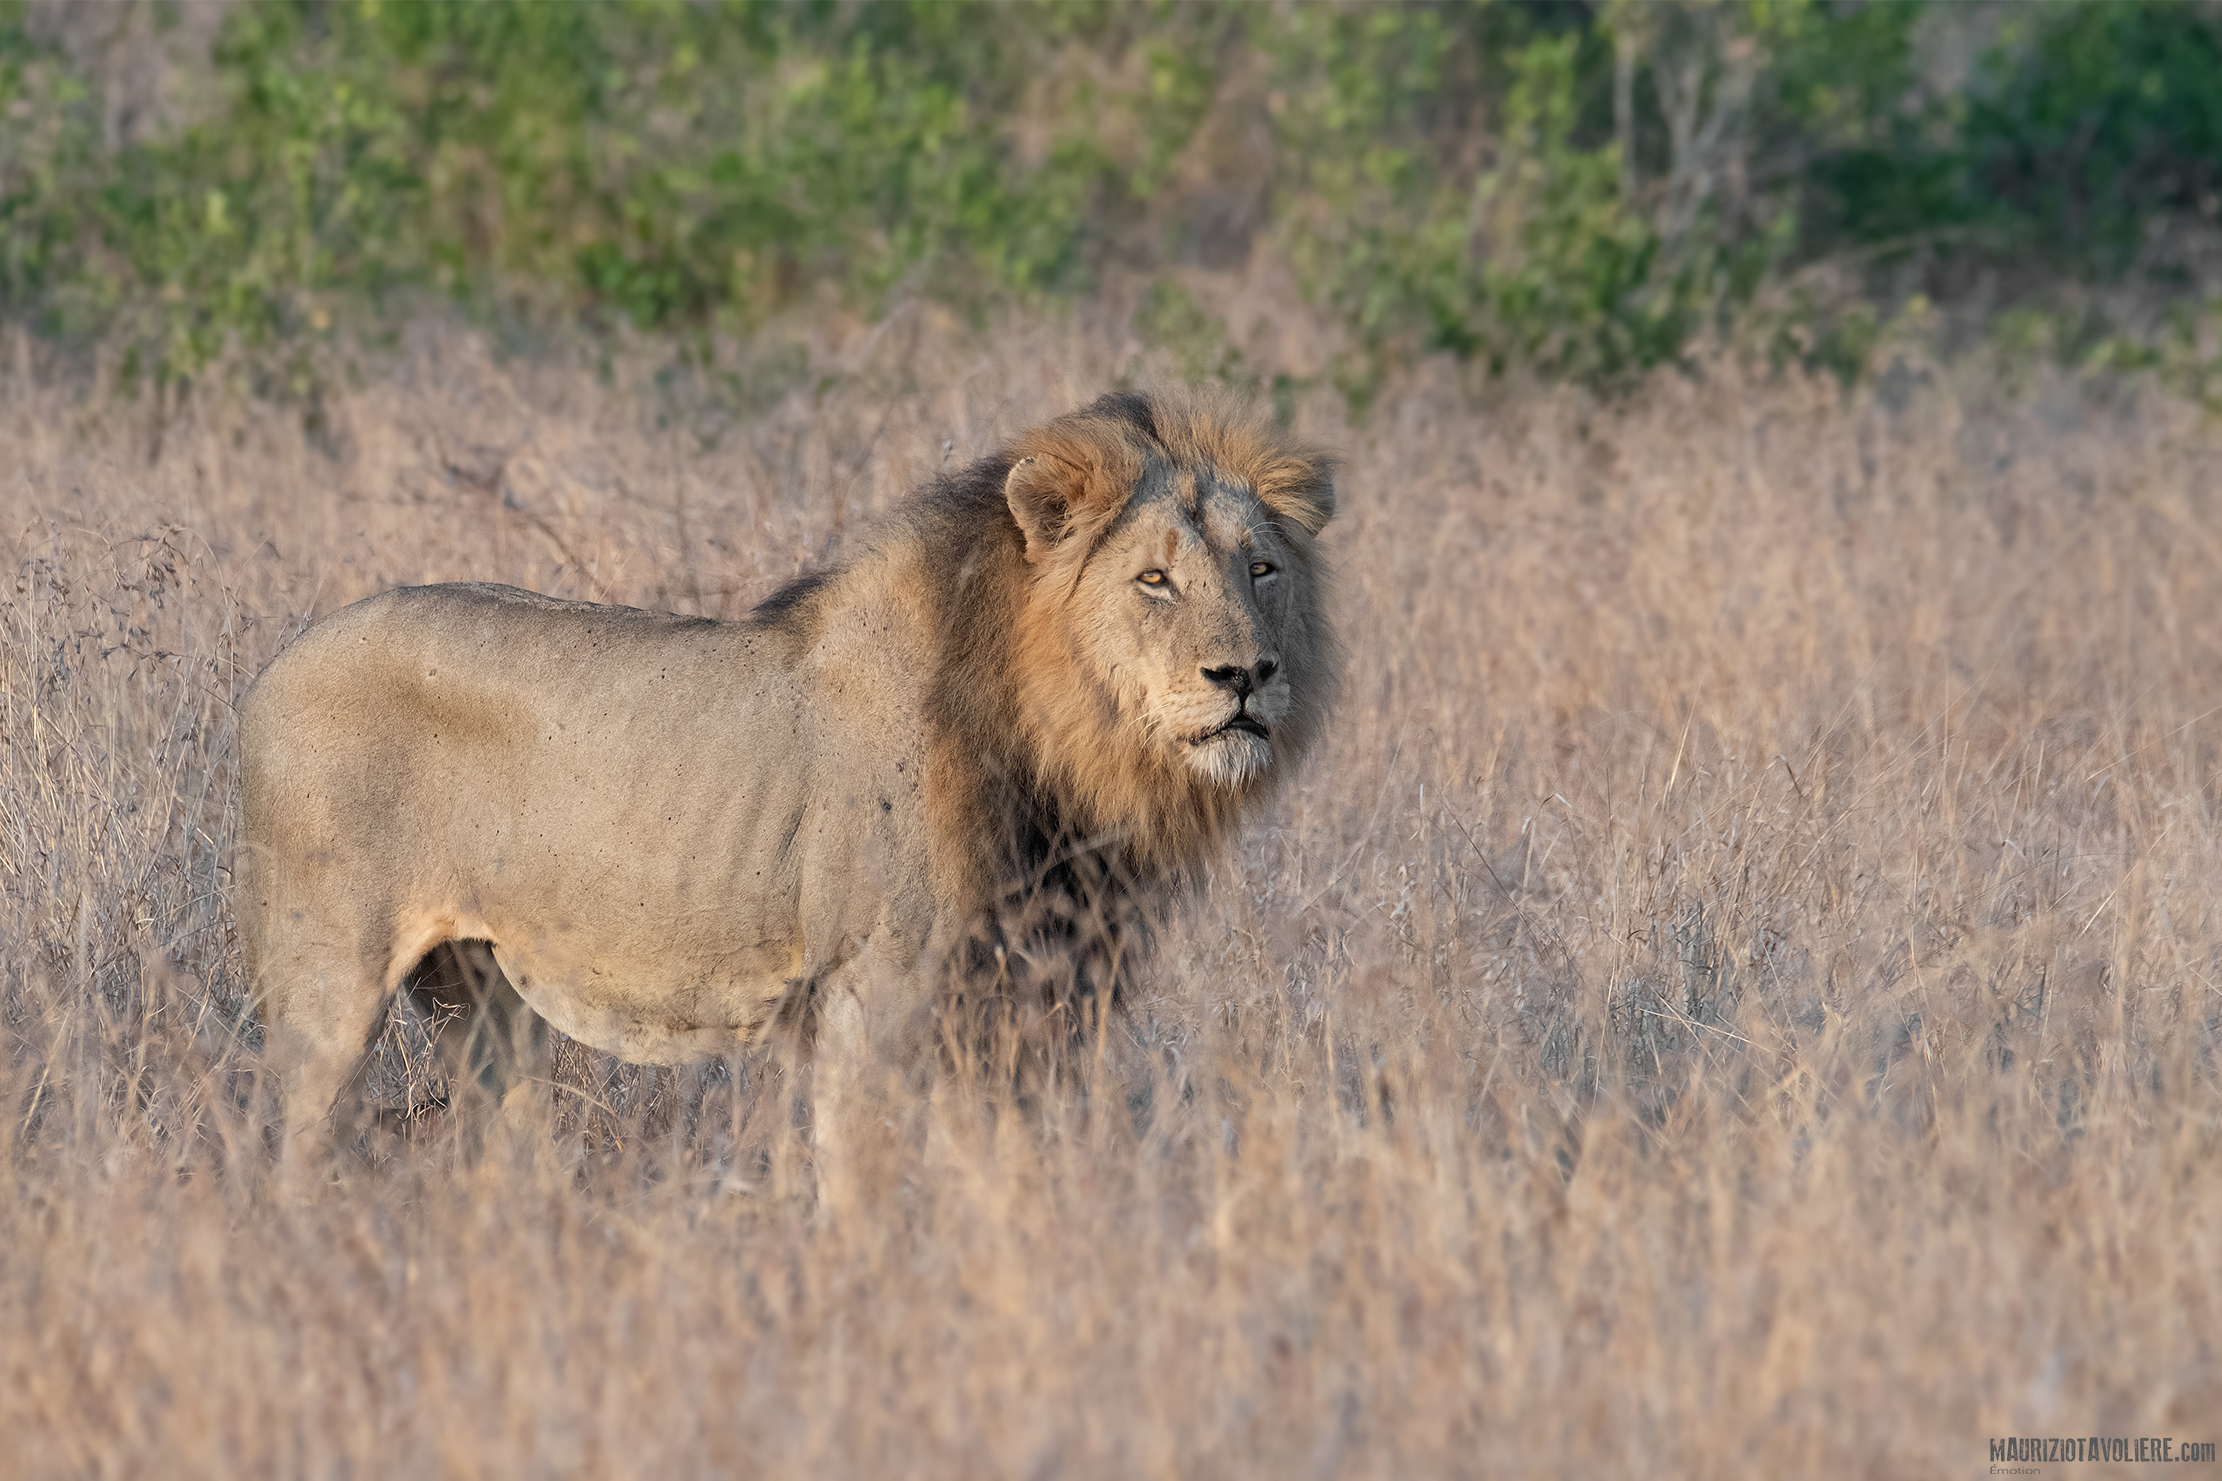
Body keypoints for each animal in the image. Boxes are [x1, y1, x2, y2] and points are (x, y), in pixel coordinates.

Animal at [236, 390, 1338, 1148]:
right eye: (1153, 579)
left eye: (1261, 569)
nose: (1245, 674)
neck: (1062, 753)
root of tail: (277, 664)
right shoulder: (873, 993)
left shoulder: (1033, 1004)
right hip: (329, 975)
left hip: (483, 993)